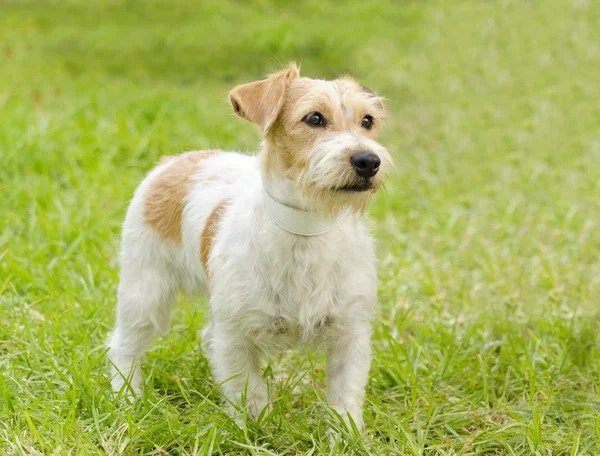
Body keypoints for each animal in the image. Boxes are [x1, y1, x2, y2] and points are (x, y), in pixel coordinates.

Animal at [106, 62, 392, 430]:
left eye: (367, 121)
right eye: (314, 118)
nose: (368, 161)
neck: (306, 231)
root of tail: (174, 161)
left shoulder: (350, 334)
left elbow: (345, 399)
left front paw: (346, 437)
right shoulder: (235, 337)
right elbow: (249, 392)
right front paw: (255, 432)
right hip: (144, 292)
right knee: (123, 346)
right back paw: (128, 400)